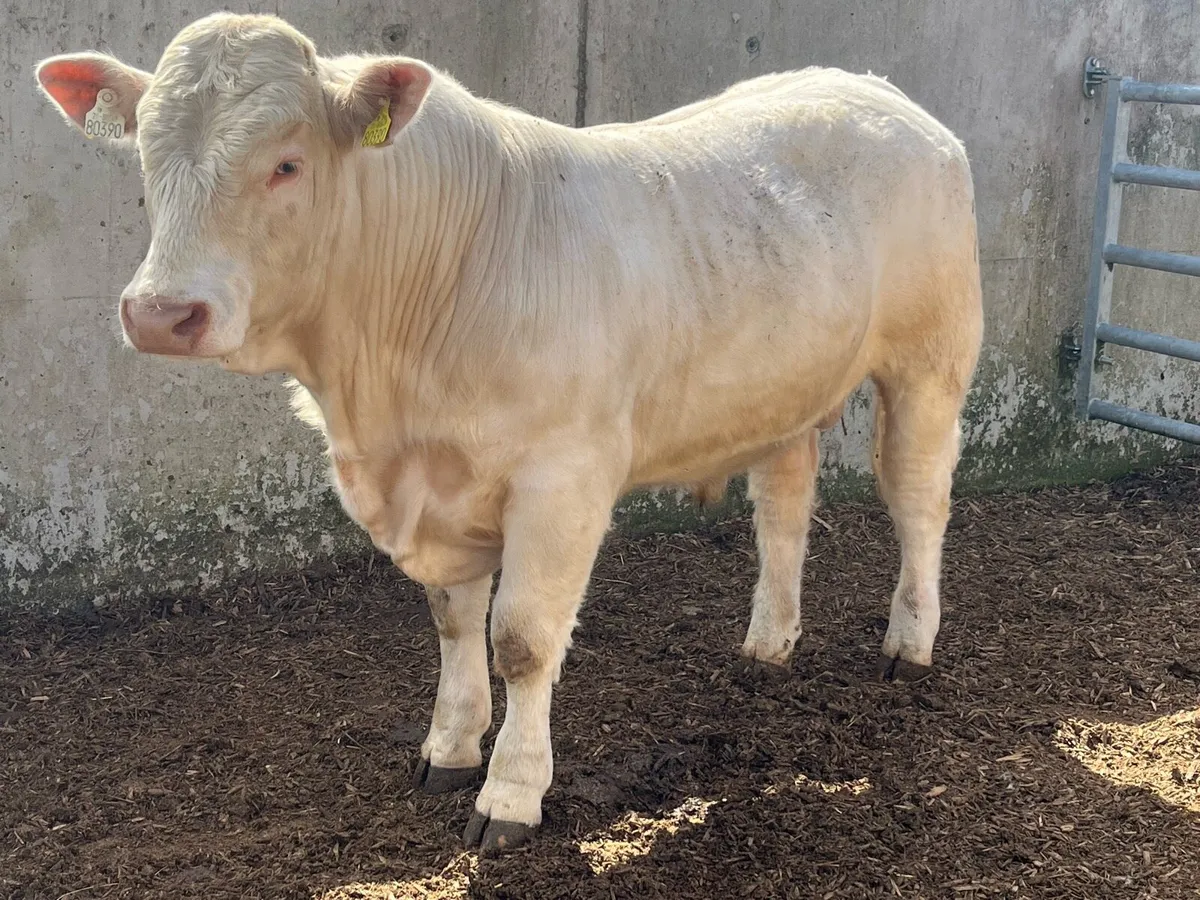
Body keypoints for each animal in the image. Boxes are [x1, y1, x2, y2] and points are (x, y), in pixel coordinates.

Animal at [36, 12, 983, 854]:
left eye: (287, 164)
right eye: (148, 161)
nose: (161, 314)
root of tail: (878, 90)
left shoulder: (562, 479)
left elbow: (521, 640)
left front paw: (511, 794)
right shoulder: (439, 489)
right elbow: (454, 623)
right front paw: (450, 749)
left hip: (931, 361)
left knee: (918, 500)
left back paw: (909, 643)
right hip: (783, 384)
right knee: (783, 506)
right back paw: (767, 644)